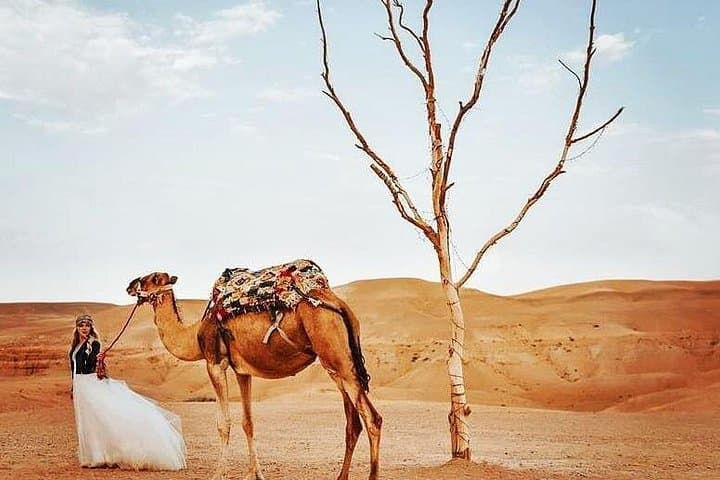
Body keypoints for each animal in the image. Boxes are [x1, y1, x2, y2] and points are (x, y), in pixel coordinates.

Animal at [126, 269, 382, 480]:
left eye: (152, 278)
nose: (129, 285)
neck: (194, 334)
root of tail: (339, 304)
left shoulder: (215, 363)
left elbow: (223, 423)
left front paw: (219, 474)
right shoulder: (242, 371)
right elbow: (248, 422)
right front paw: (255, 473)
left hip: (336, 357)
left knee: (372, 419)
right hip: (339, 364)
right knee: (353, 423)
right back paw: (341, 476)